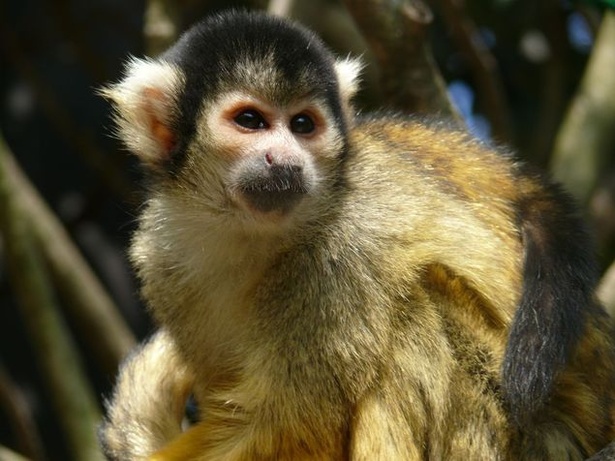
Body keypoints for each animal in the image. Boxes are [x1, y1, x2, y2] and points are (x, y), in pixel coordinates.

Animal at [98, 9, 615, 460]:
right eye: (250, 121)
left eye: (302, 125)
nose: (286, 160)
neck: (248, 232)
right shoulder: (162, 255)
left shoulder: (337, 253)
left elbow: (293, 430)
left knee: (417, 302)